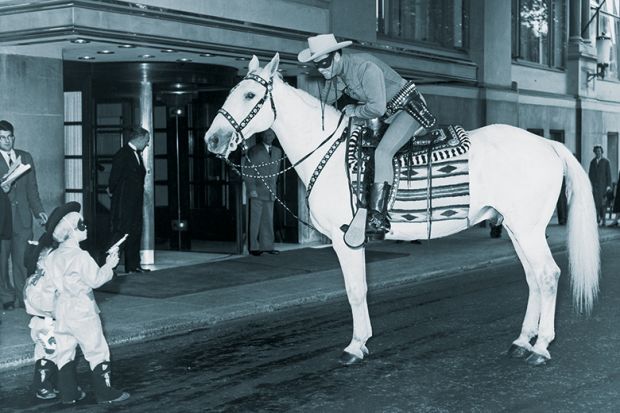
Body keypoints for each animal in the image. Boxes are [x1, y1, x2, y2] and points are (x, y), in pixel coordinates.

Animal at [205, 53, 600, 366]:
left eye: (250, 95)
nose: (213, 139)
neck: (328, 152)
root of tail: (548, 145)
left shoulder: (344, 239)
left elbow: (355, 290)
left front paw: (355, 346)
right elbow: (360, 288)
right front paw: (362, 342)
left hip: (528, 229)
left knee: (548, 276)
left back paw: (541, 347)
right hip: (518, 228)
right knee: (534, 278)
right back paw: (522, 341)